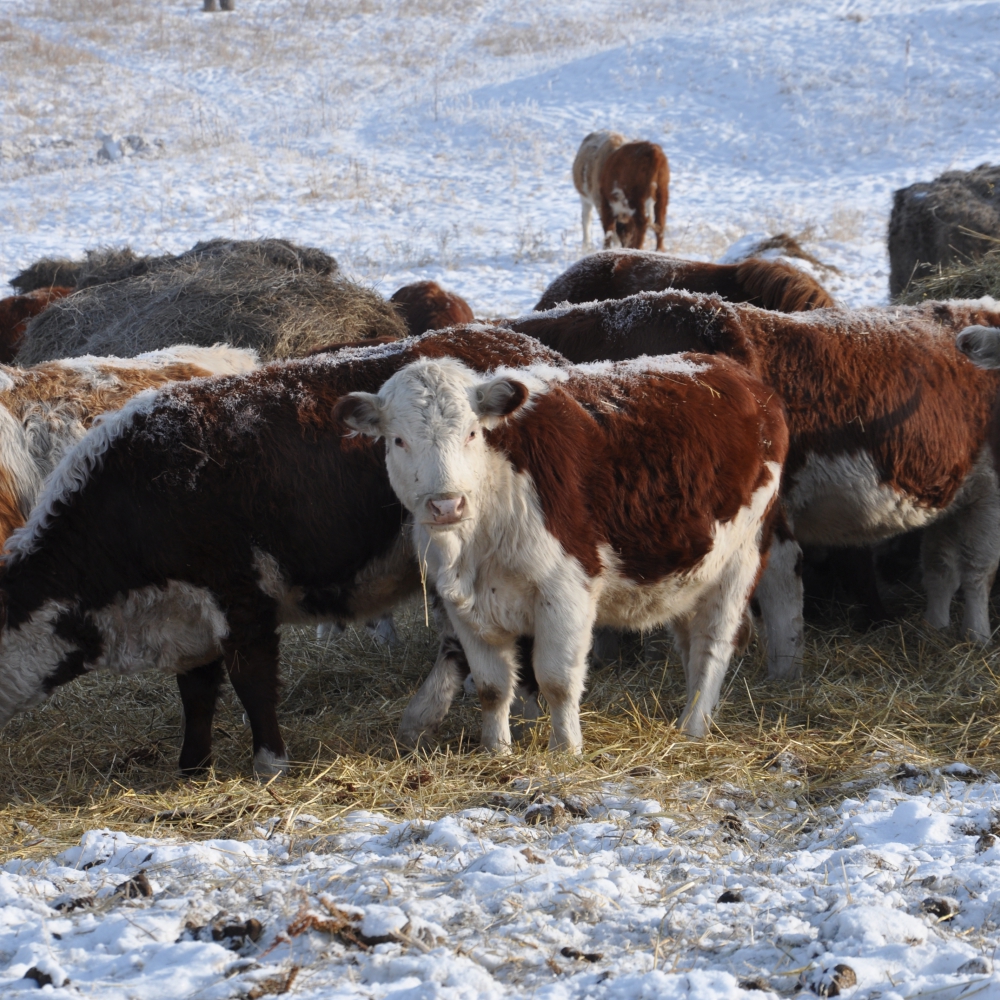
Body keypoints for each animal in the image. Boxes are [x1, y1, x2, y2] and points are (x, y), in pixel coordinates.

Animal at [0, 324, 564, 776]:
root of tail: (532, 349)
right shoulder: (190, 616)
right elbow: (197, 694)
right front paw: (192, 766)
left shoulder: (241, 599)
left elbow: (252, 682)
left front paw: (269, 763)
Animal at [338, 348, 788, 748]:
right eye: (398, 441)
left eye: (471, 433)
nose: (447, 504)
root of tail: (733, 372)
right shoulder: (464, 607)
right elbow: (492, 686)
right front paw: (496, 749)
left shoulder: (566, 590)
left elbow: (556, 680)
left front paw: (565, 749)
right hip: (688, 572)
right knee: (691, 644)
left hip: (741, 561)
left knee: (713, 645)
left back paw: (692, 728)